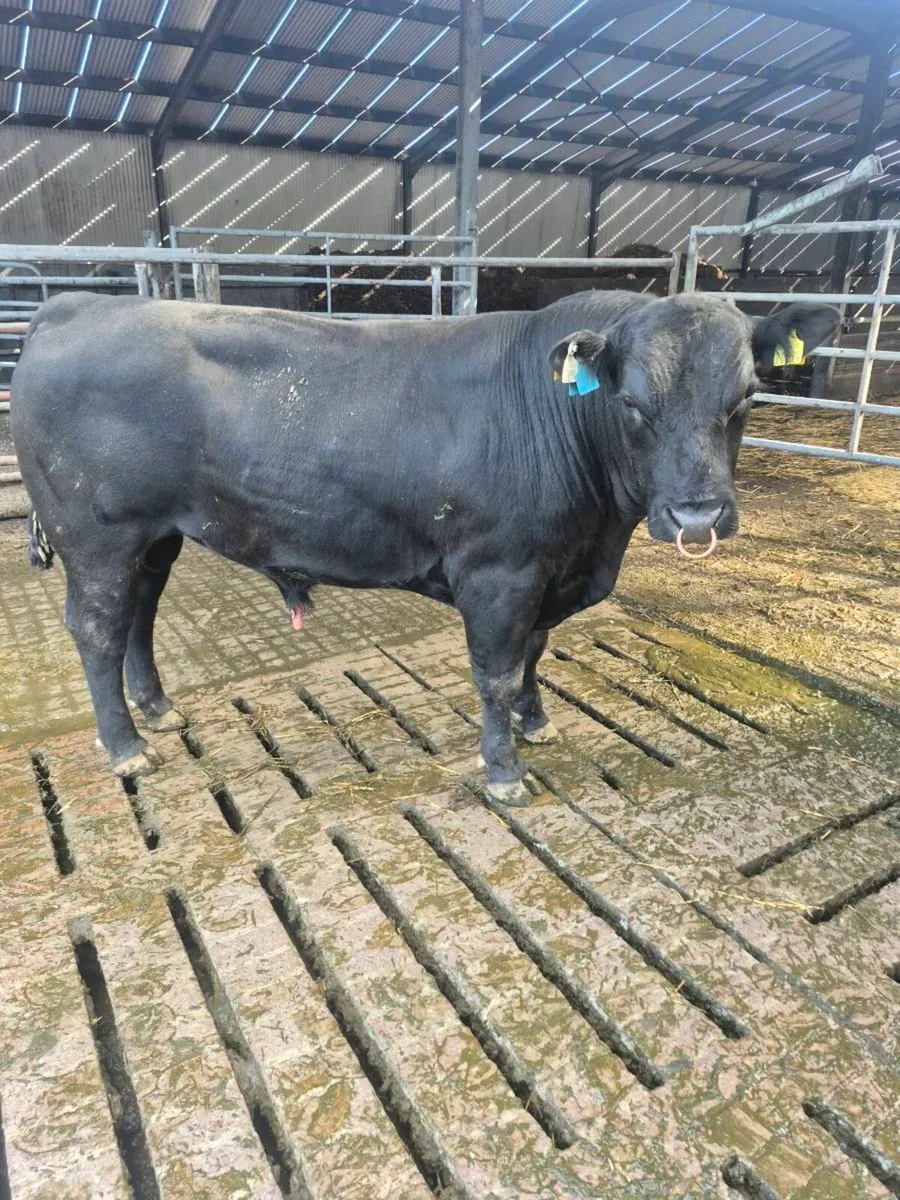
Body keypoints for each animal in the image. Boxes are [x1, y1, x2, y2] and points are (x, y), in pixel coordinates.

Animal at [11, 289, 839, 804]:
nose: (698, 514)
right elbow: (498, 672)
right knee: (97, 626)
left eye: (749, 397)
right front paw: (504, 771)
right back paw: (125, 746)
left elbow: (534, 654)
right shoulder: (498, 572)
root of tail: (75, 305)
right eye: (632, 402)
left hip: (156, 534)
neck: (596, 538)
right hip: (98, 534)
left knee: (141, 613)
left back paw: (157, 711)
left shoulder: (547, 569)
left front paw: (537, 722)